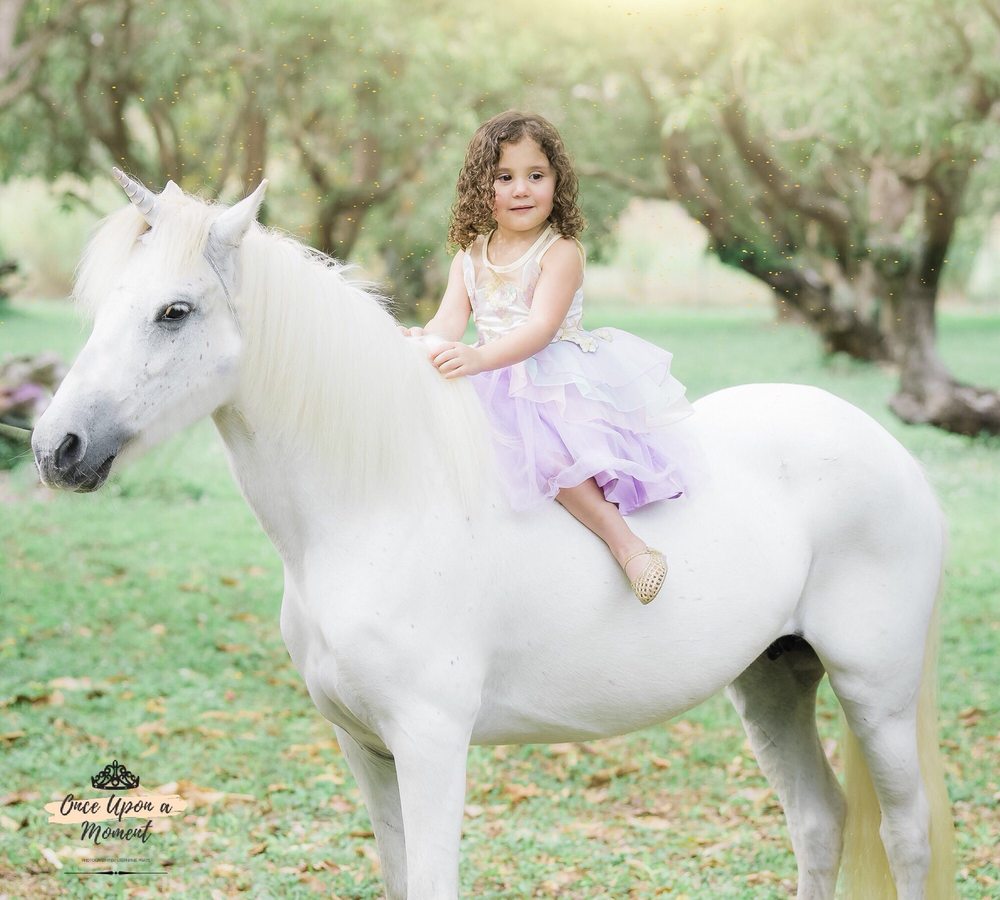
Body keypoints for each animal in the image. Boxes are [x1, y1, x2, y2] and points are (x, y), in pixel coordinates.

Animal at [32, 172, 956, 899]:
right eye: (105, 307)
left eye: (174, 312)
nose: (55, 448)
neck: (380, 502)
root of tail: (890, 453)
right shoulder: (364, 746)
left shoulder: (431, 741)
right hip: (772, 681)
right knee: (819, 821)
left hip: (875, 690)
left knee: (905, 837)